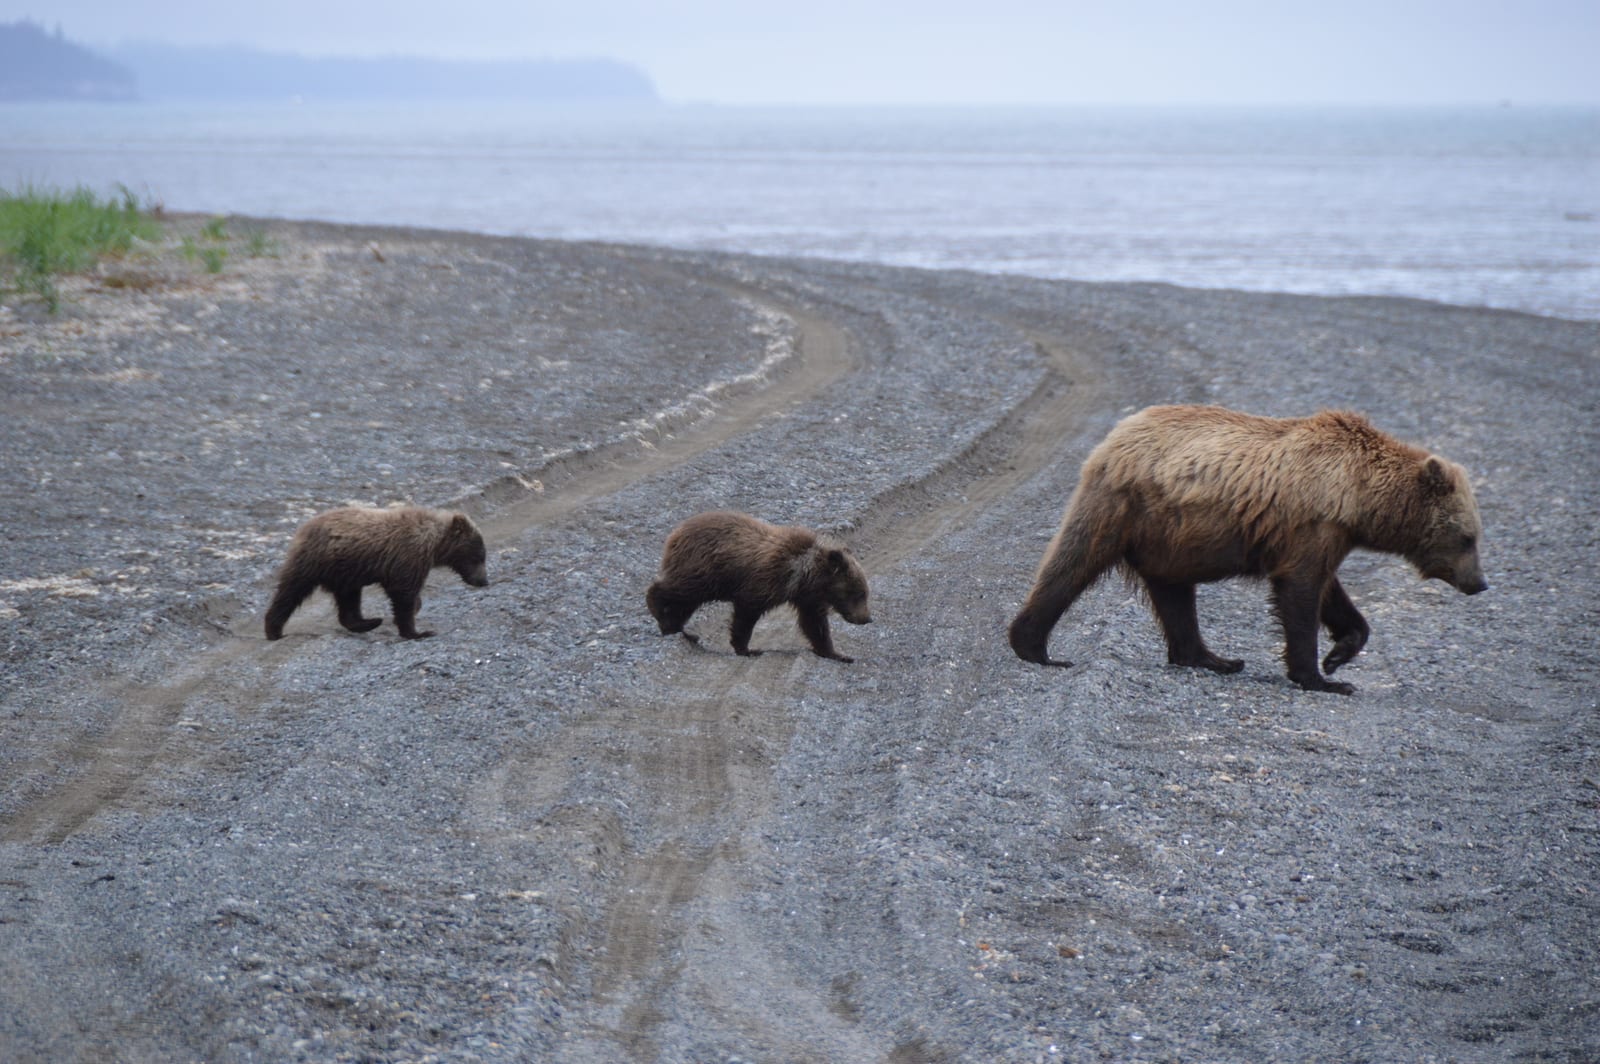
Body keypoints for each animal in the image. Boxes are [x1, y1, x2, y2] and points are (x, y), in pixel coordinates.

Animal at [264, 506, 489, 641]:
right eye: (478, 557)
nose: (484, 580)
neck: (433, 545)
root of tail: (303, 528)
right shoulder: (407, 559)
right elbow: (403, 595)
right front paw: (417, 631)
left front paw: (414, 614)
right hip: (315, 562)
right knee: (291, 591)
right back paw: (274, 629)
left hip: (345, 573)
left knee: (348, 601)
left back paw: (369, 622)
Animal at [646, 510, 872, 662]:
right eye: (859, 593)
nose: (867, 618)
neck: (803, 575)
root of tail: (675, 533)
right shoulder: (763, 582)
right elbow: (746, 615)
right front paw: (747, 649)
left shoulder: (807, 598)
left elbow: (814, 624)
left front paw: (837, 653)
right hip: (703, 569)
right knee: (680, 590)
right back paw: (660, 611)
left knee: (684, 604)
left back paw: (683, 631)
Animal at [1008, 405, 1486, 694]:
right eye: (1468, 537)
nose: (1479, 583)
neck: (1358, 496)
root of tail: (1116, 433)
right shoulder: (1312, 524)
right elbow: (1300, 593)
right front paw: (1319, 676)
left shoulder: (1326, 535)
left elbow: (1329, 591)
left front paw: (1339, 656)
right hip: (1125, 507)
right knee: (1073, 563)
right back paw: (1035, 647)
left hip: (1168, 538)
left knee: (1174, 595)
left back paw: (1213, 658)